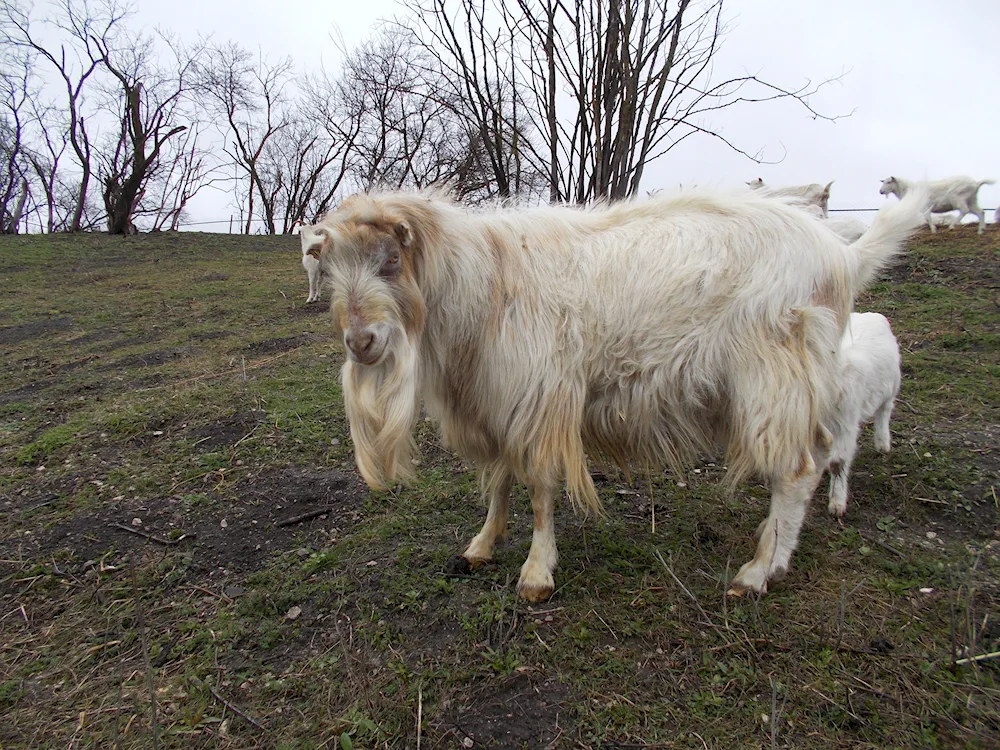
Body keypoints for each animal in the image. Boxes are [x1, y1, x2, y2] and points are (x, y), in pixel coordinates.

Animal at [824, 314, 904, 520]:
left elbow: (838, 462)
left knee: (884, 412)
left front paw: (837, 503)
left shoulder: (845, 425)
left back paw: (883, 443)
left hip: (891, 387)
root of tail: (872, 315)